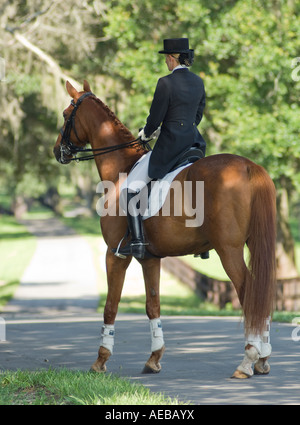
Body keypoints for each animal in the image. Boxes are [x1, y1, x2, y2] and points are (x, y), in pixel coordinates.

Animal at [52, 81, 276, 380]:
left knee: (249, 292)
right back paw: (262, 358)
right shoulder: (149, 258)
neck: (121, 168)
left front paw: (100, 360)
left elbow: (111, 306)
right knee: (262, 294)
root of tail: (250, 166)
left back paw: (248, 360)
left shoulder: (115, 254)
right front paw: (154, 358)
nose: (58, 151)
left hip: (228, 250)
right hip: (253, 244)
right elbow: (153, 304)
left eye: (66, 115)